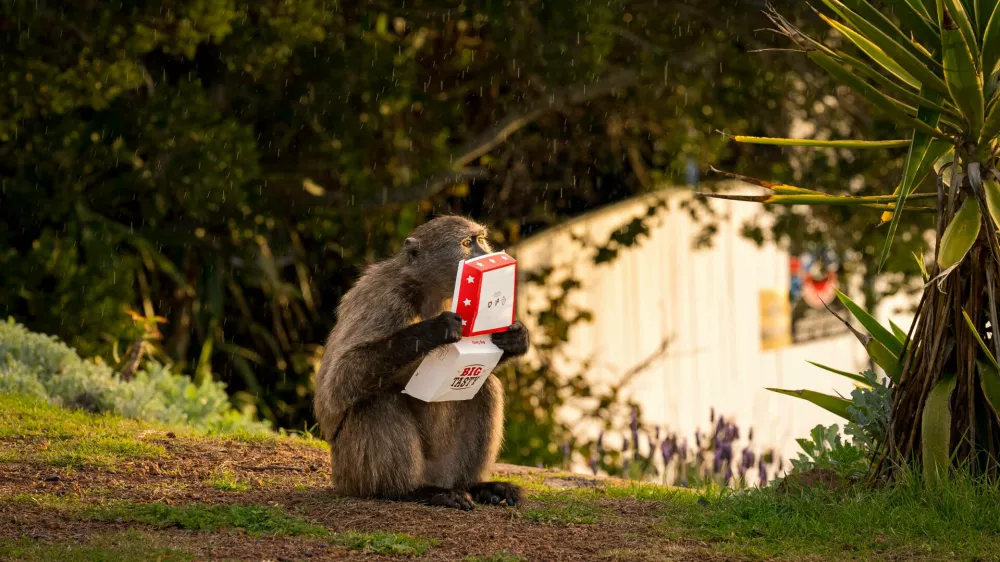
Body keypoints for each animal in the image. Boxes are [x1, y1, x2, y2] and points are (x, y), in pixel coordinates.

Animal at [313, 215, 530, 510]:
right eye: (467, 243)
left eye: (481, 240)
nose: (488, 255)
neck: (426, 290)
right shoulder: (383, 298)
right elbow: (338, 382)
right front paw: (435, 329)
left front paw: (515, 337)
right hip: (352, 471)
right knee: (378, 398)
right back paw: (413, 491)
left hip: (446, 468)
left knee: (485, 387)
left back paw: (476, 486)